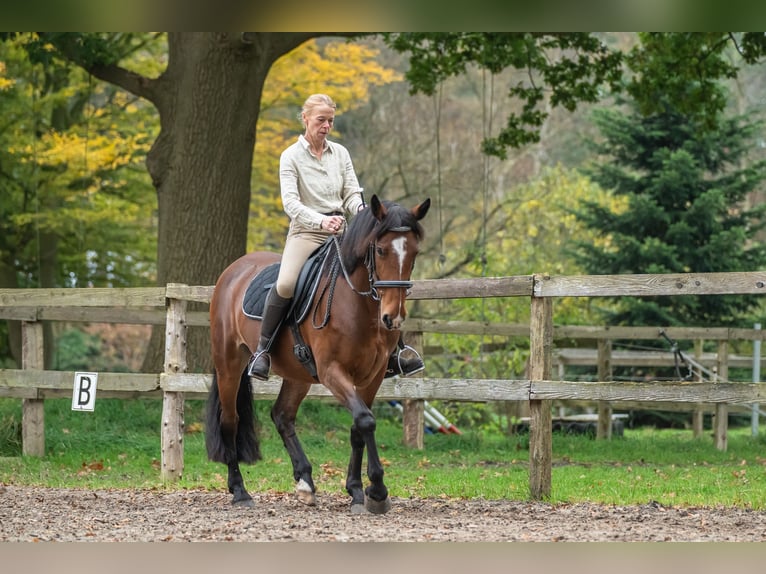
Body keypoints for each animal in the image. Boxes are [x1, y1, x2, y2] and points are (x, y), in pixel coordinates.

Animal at [207, 196, 428, 516]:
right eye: (380, 249)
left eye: (414, 253)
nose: (392, 318)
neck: (358, 303)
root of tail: (233, 271)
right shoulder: (332, 371)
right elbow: (365, 420)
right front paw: (376, 491)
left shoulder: (373, 376)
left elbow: (358, 426)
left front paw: (357, 491)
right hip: (229, 364)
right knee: (230, 420)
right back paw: (240, 491)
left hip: (297, 373)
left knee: (282, 415)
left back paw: (305, 483)